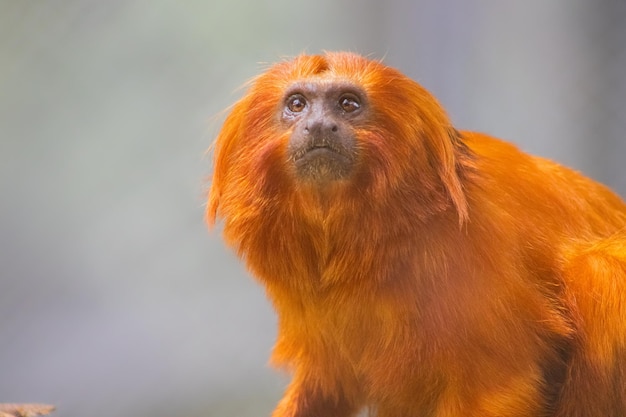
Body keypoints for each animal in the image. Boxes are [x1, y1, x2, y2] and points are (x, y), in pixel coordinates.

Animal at [206, 52, 624, 416]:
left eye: (347, 104)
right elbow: (329, 384)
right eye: (296, 104)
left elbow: (500, 383)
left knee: (599, 270)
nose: (320, 126)